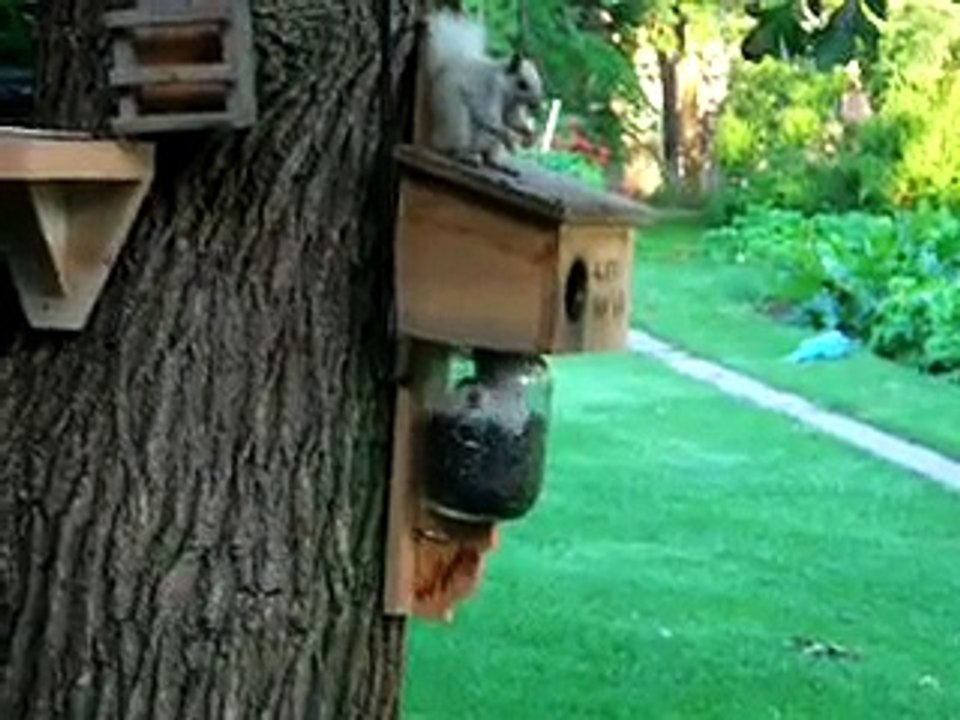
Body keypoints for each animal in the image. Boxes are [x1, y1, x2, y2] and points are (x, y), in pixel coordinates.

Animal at [424, 9, 544, 170]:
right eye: (522, 84)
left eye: (540, 82)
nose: (536, 104)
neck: (507, 92)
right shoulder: (488, 91)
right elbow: (489, 117)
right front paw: (510, 138)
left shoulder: (512, 107)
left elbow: (512, 120)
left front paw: (530, 133)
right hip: (457, 122)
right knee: (454, 148)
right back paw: (467, 156)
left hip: (491, 143)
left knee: (489, 154)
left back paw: (499, 163)